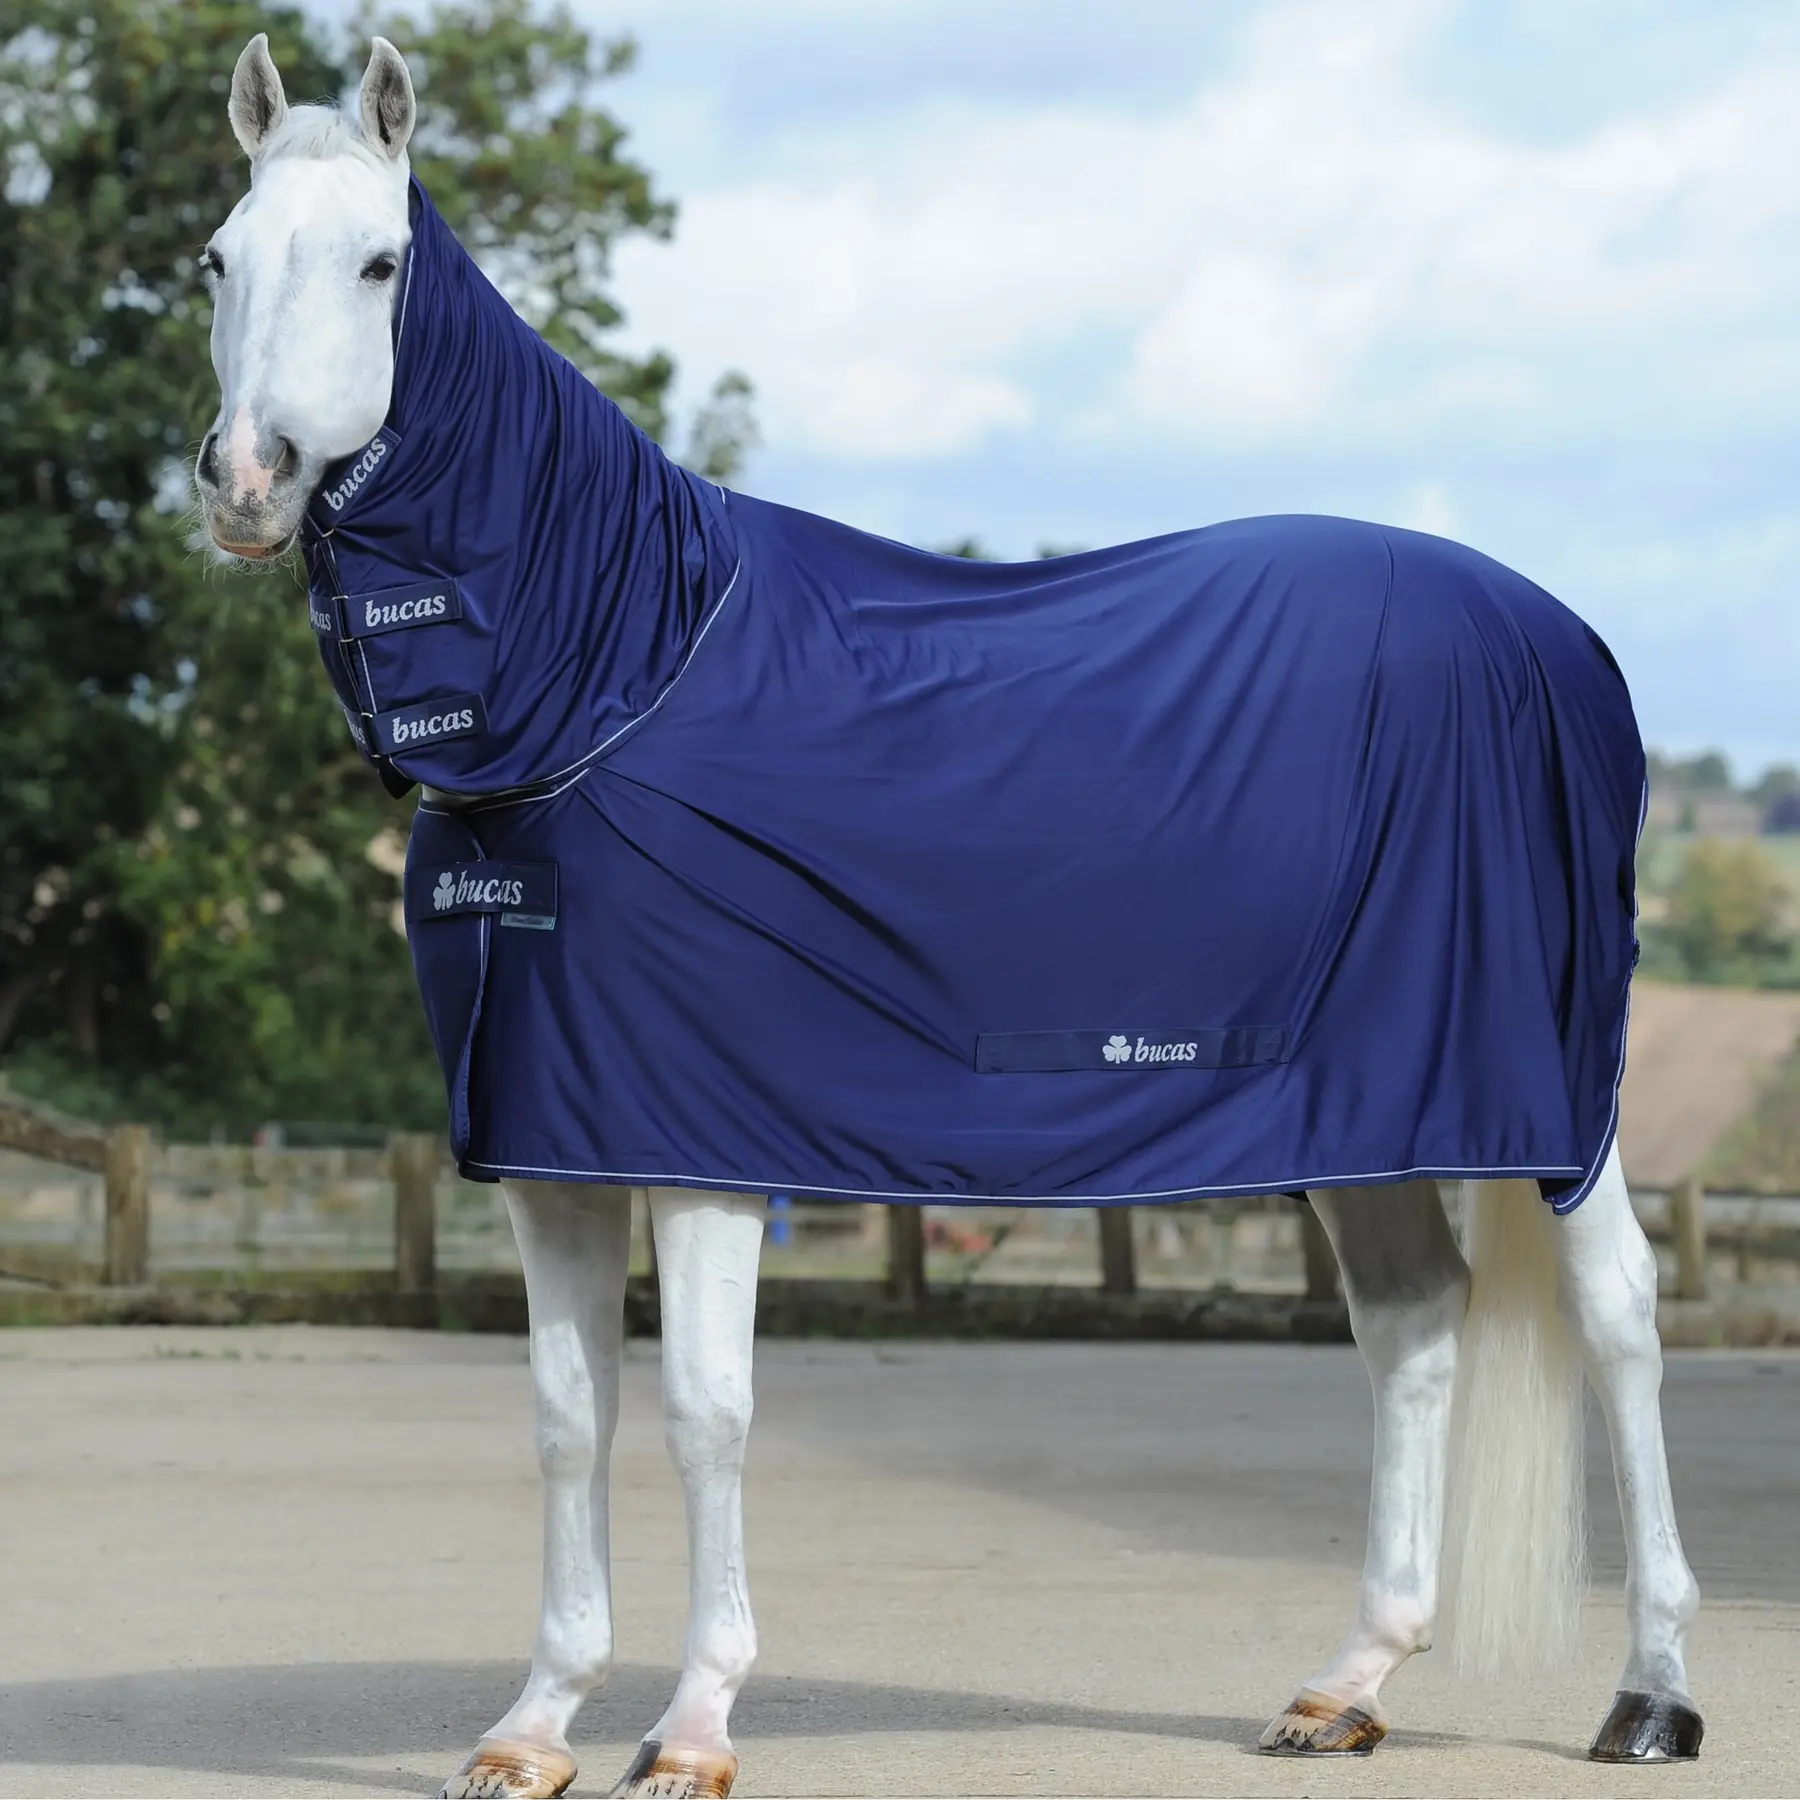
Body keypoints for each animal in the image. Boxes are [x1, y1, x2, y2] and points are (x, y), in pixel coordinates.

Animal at [193, 34, 1703, 1798]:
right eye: (218, 258)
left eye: (378, 263)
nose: (245, 481)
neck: (617, 672)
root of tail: (1568, 641)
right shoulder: (552, 1141)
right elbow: (573, 1421)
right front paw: (533, 1729)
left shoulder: (702, 1145)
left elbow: (707, 1416)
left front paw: (693, 1728)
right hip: (1365, 1109)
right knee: (1415, 1326)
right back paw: (1347, 1686)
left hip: (1553, 1097)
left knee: (1619, 1318)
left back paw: (1653, 1693)